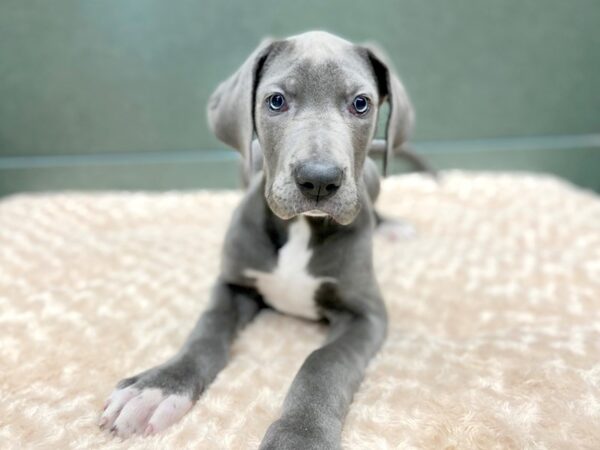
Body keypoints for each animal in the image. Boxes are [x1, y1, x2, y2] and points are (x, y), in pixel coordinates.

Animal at [101, 29, 414, 448]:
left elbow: (323, 362)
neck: (301, 227)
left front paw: (301, 434)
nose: (319, 179)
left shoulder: (366, 315)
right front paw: (158, 387)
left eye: (360, 103)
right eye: (276, 101)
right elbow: (206, 330)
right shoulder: (233, 285)